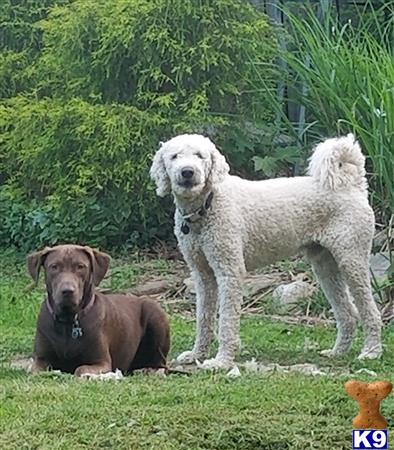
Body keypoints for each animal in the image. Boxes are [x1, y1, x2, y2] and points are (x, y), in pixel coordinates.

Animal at [27, 244, 169, 378]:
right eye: (54, 266)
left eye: (80, 266)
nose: (67, 291)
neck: (68, 320)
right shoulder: (41, 359)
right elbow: (36, 370)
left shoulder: (102, 362)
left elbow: (80, 369)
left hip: (154, 312)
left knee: (161, 363)